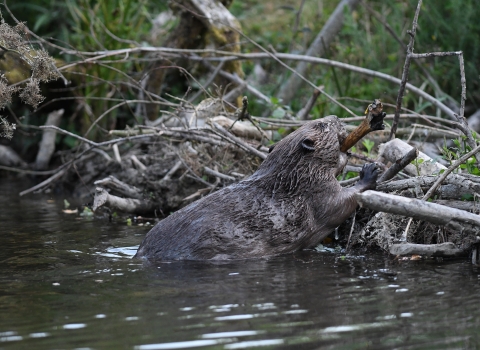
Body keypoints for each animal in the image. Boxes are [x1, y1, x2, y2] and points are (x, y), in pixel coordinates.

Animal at [135, 116, 378, 262]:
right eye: (321, 125)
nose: (336, 118)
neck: (291, 175)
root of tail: (141, 253)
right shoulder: (316, 189)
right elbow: (338, 205)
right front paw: (369, 171)